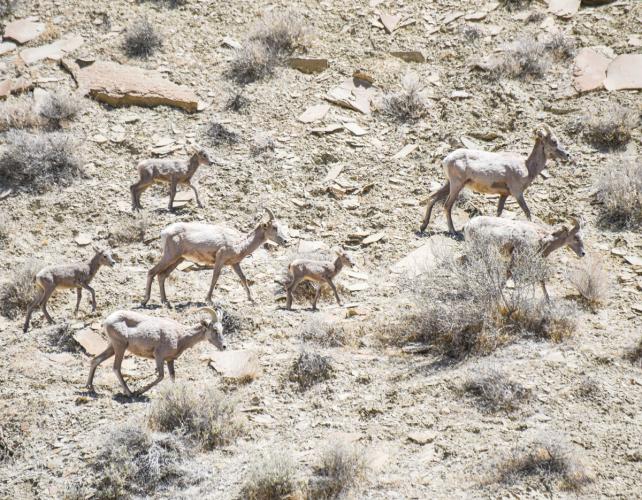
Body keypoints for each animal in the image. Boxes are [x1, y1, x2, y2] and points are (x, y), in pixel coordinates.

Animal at [86, 307, 225, 397]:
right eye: (215, 330)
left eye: (222, 329)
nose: (224, 346)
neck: (181, 337)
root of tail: (108, 320)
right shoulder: (159, 357)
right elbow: (161, 376)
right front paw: (139, 392)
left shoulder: (170, 360)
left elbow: (172, 376)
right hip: (120, 347)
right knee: (116, 368)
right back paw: (130, 393)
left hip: (112, 348)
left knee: (96, 360)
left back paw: (90, 388)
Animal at [142, 208, 288, 306]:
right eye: (274, 227)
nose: (286, 241)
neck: (239, 243)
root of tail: (164, 232)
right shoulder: (220, 259)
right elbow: (215, 278)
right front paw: (209, 300)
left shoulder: (234, 264)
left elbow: (243, 278)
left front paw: (252, 300)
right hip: (170, 256)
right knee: (152, 272)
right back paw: (145, 301)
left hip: (177, 260)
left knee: (161, 276)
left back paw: (166, 302)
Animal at [420, 125, 570, 234]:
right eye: (554, 141)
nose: (567, 155)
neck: (527, 167)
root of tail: (446, 160)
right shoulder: (517, 193)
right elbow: (527, 212)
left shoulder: (504, 195)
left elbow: (498, 213)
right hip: (457, 185)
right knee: (447, 205)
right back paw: (453, 231)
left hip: (449, 184)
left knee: (432, 198)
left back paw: (423, 227)